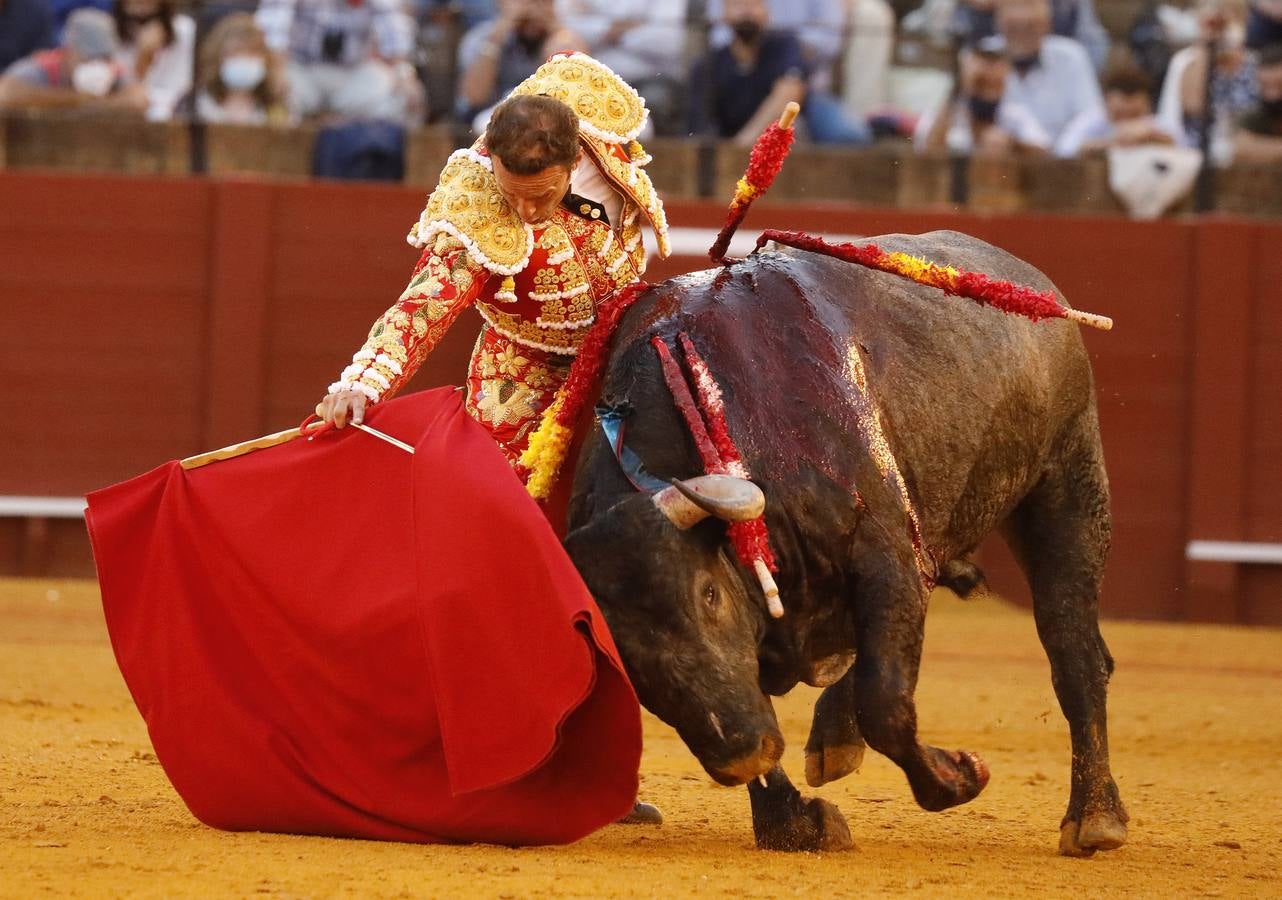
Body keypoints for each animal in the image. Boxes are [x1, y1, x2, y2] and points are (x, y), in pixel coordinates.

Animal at [566, 229, 1128, 856]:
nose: (741, 756)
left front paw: (958, 778)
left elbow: (886, 700)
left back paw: (1095, 818)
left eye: (708, 594)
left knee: (1073, 646)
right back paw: (834, 740)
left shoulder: (889, 557)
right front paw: (796, 824)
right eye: (620, 650)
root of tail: (1026, 277)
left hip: (1067, 481)